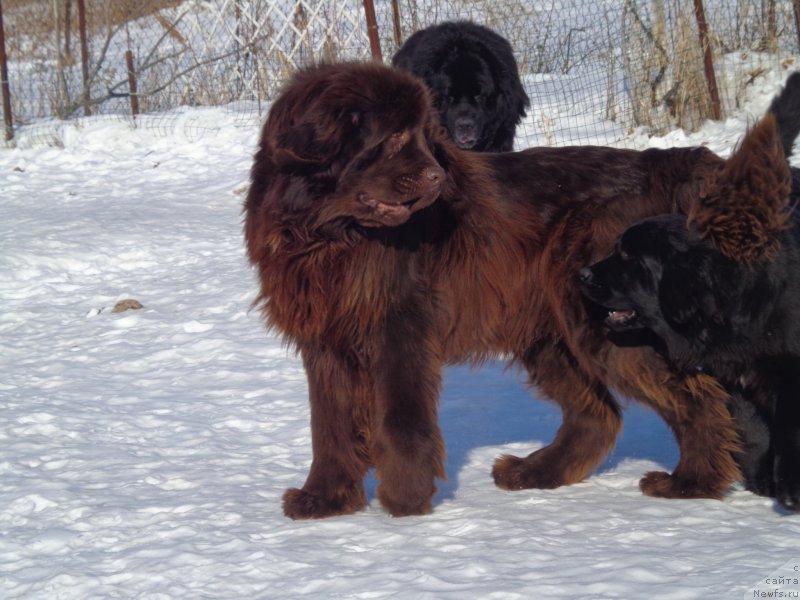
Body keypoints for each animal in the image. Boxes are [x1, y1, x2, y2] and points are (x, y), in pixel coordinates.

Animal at [247, 62, 740, 520]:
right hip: (547, 334)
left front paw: (405, 503)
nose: (436, 178)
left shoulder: (397, 330)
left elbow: (402, 421)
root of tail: (663, 163)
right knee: (596, 415)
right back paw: (534, 473)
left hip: (610, 323)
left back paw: (692, 483)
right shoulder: (324, 341)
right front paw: (324, 500)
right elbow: (329, 426)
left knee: (697, 397)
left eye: (423, 136)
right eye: (395, 136)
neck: (329, 235)